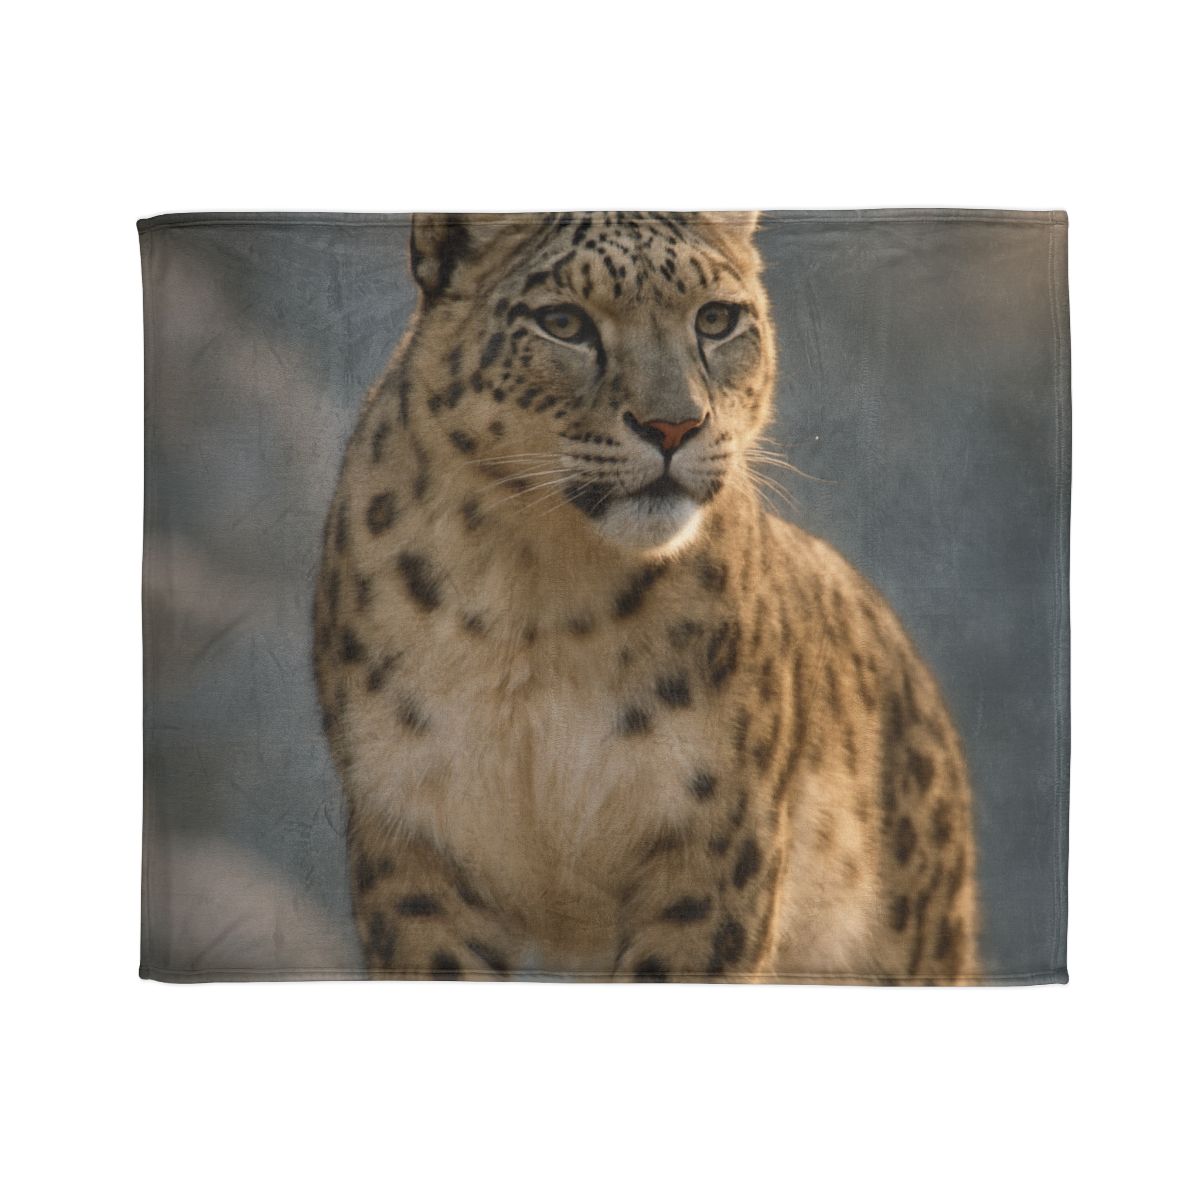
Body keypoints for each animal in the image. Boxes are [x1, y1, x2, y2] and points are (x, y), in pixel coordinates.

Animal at [313, 211, 979, 983]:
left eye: (715, 319)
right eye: (564, 323)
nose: (674, 426)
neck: (537, 595)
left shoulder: (714, 839)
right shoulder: (416, 835)